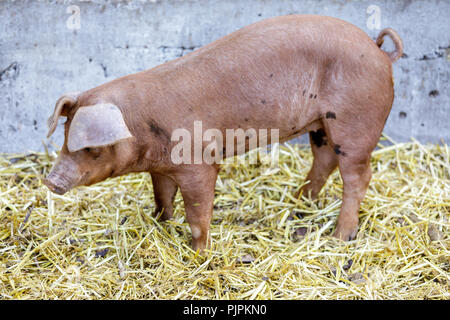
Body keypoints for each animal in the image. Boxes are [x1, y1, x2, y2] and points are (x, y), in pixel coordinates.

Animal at [44, 15, 404, 251]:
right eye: (64, 136)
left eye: (92, 148)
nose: (51, 180)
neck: (141, 128)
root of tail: (380, 51)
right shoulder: (161, 167)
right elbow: (162, 196)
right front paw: (160, 224)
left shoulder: (198, 164)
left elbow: (197, 212)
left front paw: (198, 252)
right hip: (321, 126)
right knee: (324, 161)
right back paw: (298, 203)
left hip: (356, 122)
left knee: (358, 176)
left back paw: (340, 237)